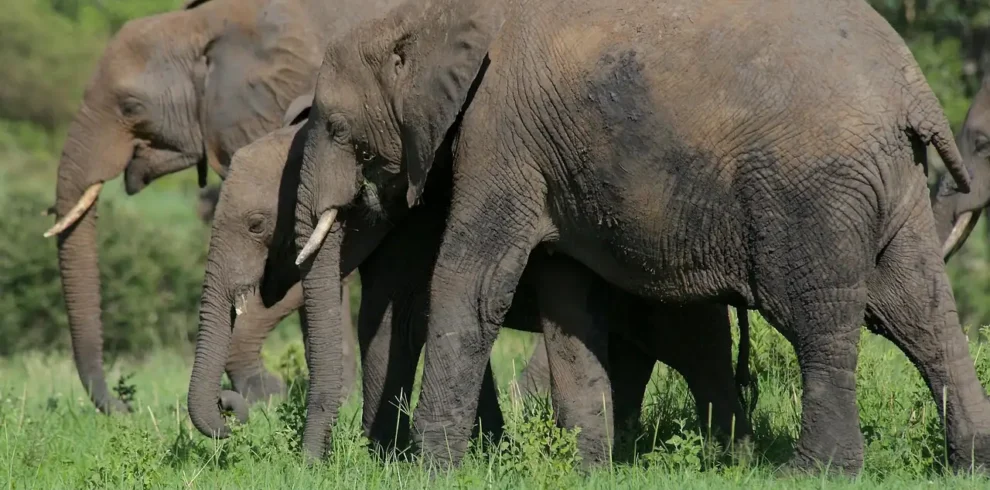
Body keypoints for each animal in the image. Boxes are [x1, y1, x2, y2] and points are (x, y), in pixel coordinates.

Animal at [188, 107, 757, 459]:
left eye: (257, 225)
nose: (231, 415)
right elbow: (396, 319)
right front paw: (484, 450)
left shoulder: (420, 224)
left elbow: (400, 319)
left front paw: (385, 456)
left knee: (695, 349)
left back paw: (731, 455)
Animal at [291, 0, 990, 475]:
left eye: (335, 126)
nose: (315, 465)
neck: (421, 15)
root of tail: (913, 88)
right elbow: (568, 298)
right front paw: (586, 469)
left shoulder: (498, 131)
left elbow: (473, 281)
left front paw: (434, 470)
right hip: (891, 178)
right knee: (916, 309)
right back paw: (968, 461)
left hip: (812, 185)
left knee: (816, 315)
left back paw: (810, 471)